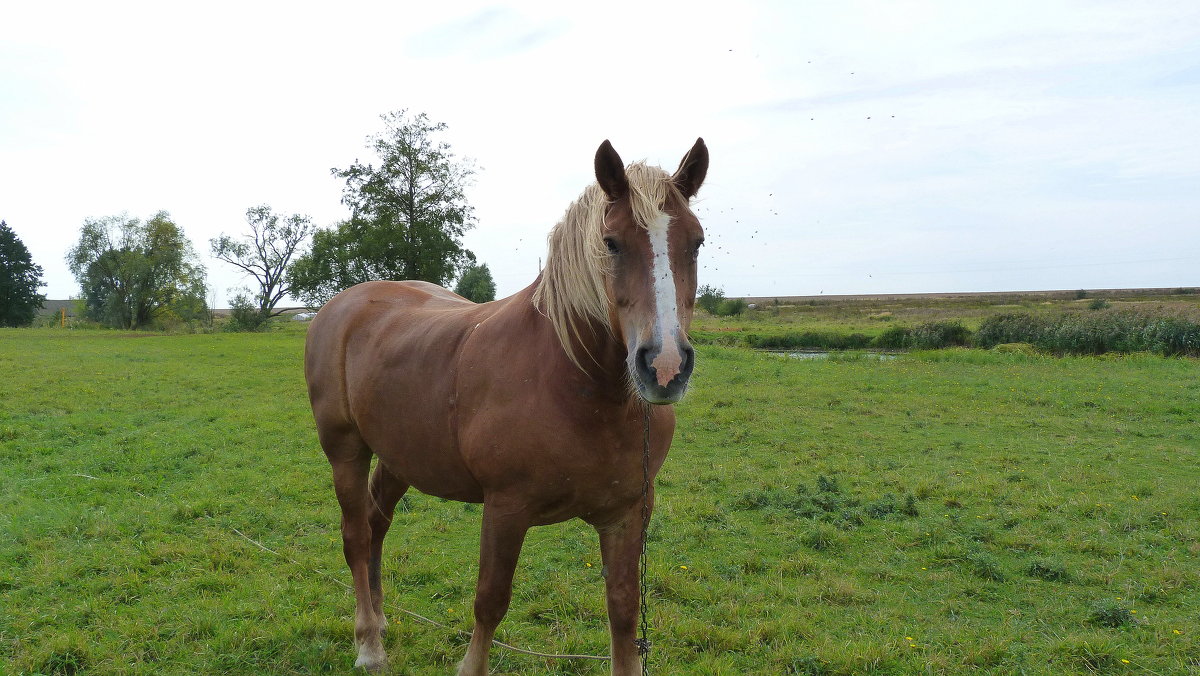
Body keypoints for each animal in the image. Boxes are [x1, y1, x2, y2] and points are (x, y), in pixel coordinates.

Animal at [304, 138, 705, 676]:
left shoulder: (628, 512)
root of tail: (339, 306)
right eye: (611, 242)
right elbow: (490, 600)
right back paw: (369, 643)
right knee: (354, 535)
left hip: (399, 456)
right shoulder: (505, 510)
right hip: (345, 449)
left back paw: (382, 621)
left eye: (696, 241)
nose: (664, 366)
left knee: (375, 525)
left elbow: (623, 609)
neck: (579, 389)